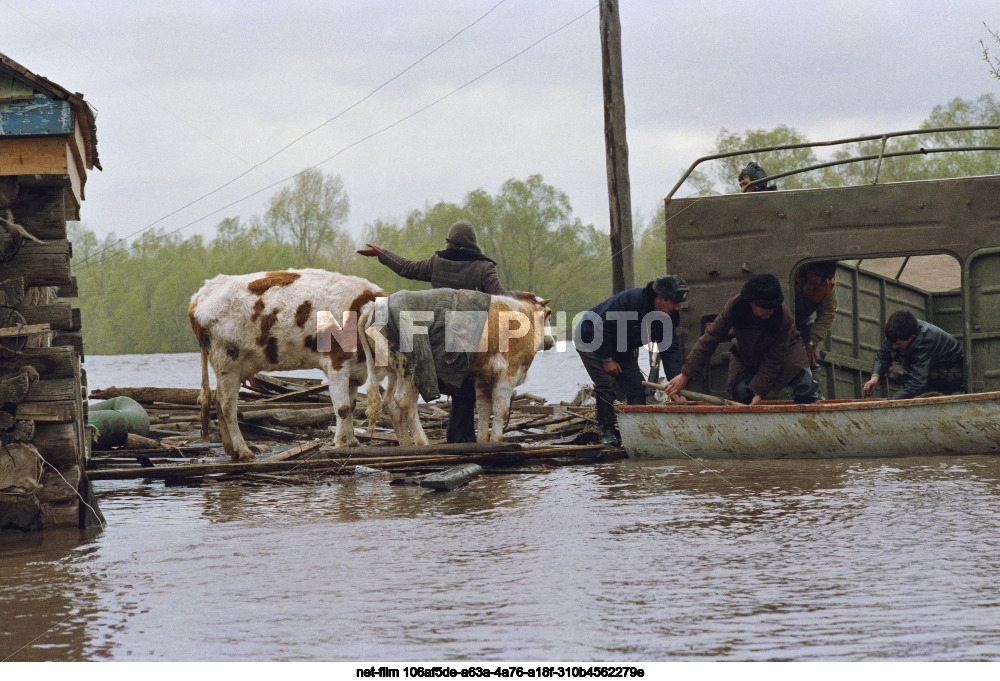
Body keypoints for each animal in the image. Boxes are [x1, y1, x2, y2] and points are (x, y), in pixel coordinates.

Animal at [189, 268, 384, 460]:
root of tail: (200, 295)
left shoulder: (354, 372)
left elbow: (351, 405)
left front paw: (350, 442)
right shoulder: (337, 362)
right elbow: (342, 408)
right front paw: (342, 444)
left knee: (216, 398)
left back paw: (231, 449)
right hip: (227, 361)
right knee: (227, 403)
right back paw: (243, 450)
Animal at [362, 294, 556, 446]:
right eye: (548, 317)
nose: (552, 342)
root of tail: (373, 307)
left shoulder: (483, 376)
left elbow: (484, 407)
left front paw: (484, 439)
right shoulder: (508, 373)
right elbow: (501, 408)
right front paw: (497, 439)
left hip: (394, 371)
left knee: (391, 402)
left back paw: (406, 442)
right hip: (411, 370)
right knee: (404, 402)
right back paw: (422, 442)